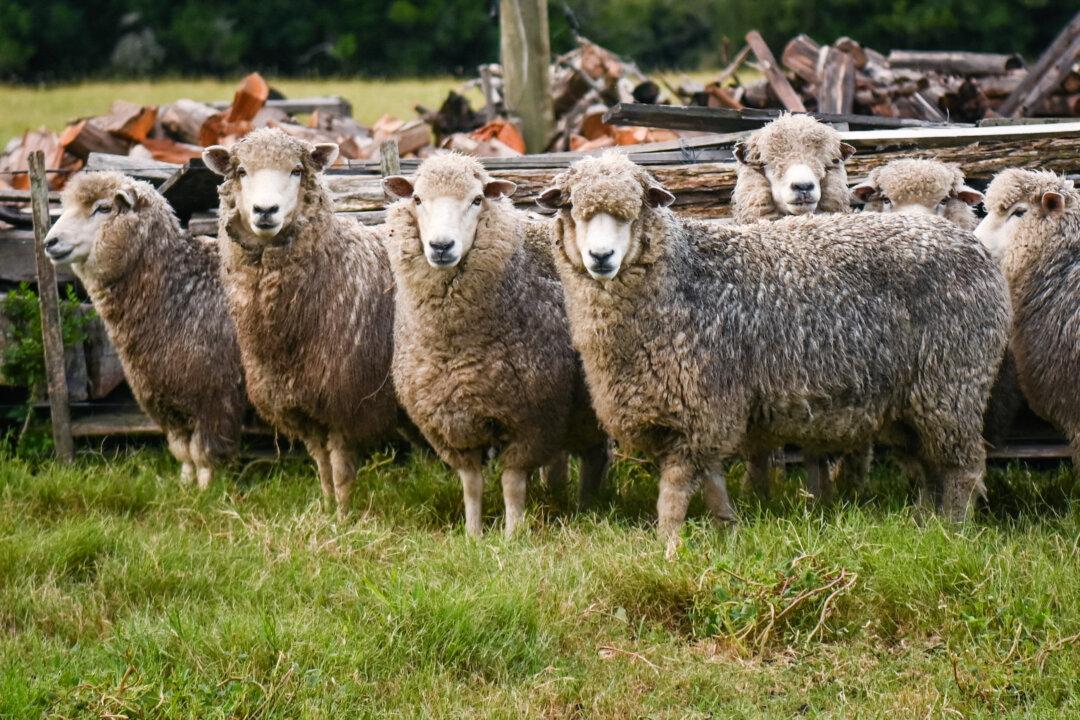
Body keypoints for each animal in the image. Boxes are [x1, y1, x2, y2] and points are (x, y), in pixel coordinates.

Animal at [43, 171, 245, 489]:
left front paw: (206, 488)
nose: (50, 242)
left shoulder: (214, 392)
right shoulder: (161, 390)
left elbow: (204, 451)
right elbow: (182, 449)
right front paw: (185, 485)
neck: (178, 288)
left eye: (103, 208)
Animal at [203, 128, 399, 519]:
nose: (265, 211)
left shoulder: (342, 402)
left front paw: (343, 518)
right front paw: (326, 509)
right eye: (242, 171)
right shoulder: (300, 404)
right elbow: (322, 466)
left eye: (296, 170)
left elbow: (340, 470)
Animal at [382, 154, 608, 537]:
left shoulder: (530, 420)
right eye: (417, 199)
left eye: (476, 200)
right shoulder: (454, 425)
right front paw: (473, 535)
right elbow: (471, 484)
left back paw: (588, 507)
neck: (457, 346)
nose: (441, 247)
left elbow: (511, 484)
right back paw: (558, 497)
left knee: (595, 457)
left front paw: (512, 534)